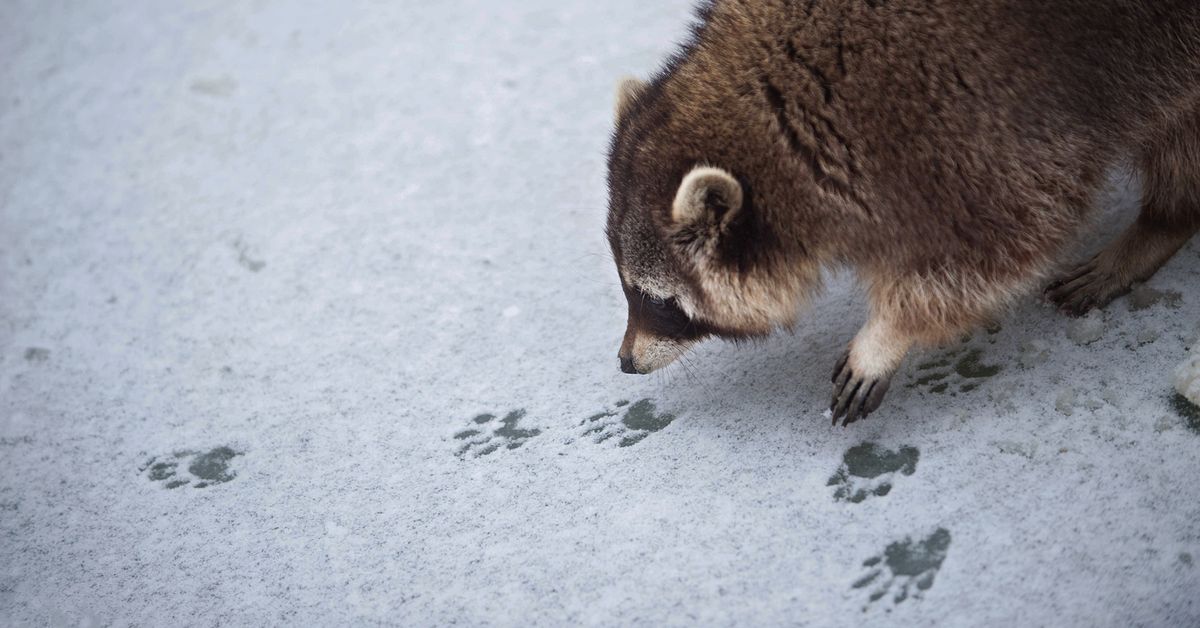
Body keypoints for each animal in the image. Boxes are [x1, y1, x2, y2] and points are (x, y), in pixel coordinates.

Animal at [609, 1, 1200, 427]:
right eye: (629, 291)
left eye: (657, 302)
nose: (624, 362)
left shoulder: (975, 122)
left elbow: (1002, 241)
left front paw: (888, 332)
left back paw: (1163, 222)